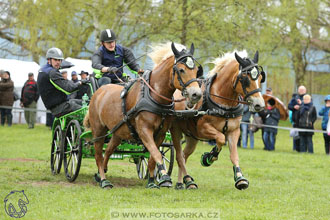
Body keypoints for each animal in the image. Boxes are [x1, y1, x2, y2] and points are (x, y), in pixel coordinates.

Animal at [84, 42, 202, 189]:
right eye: (181, 70)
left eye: (196, 70)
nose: (196, 94)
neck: (155, 96)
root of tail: (98, 92)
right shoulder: (144, 131)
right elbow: (156, 154)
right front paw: (164, 177)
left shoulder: (160, 133)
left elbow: (152, 157)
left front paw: (152, 181)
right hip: (99, 130)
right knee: (98, 155)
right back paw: (104, 180)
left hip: (118, 133)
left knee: (108, 151)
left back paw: (100, 174)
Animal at [151, 49, 264, 189]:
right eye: (245, 78)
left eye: (260, 78)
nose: (260, 105)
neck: (224, 104)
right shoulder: (203, 129)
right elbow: (220, 138)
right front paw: (209, 157)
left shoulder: (234, 131)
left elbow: (234, 155)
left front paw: (240, 178)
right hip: (176, 131)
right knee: (179, 156)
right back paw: (184, 181)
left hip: (192, 137)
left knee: (184, 155)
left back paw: (182, 182)